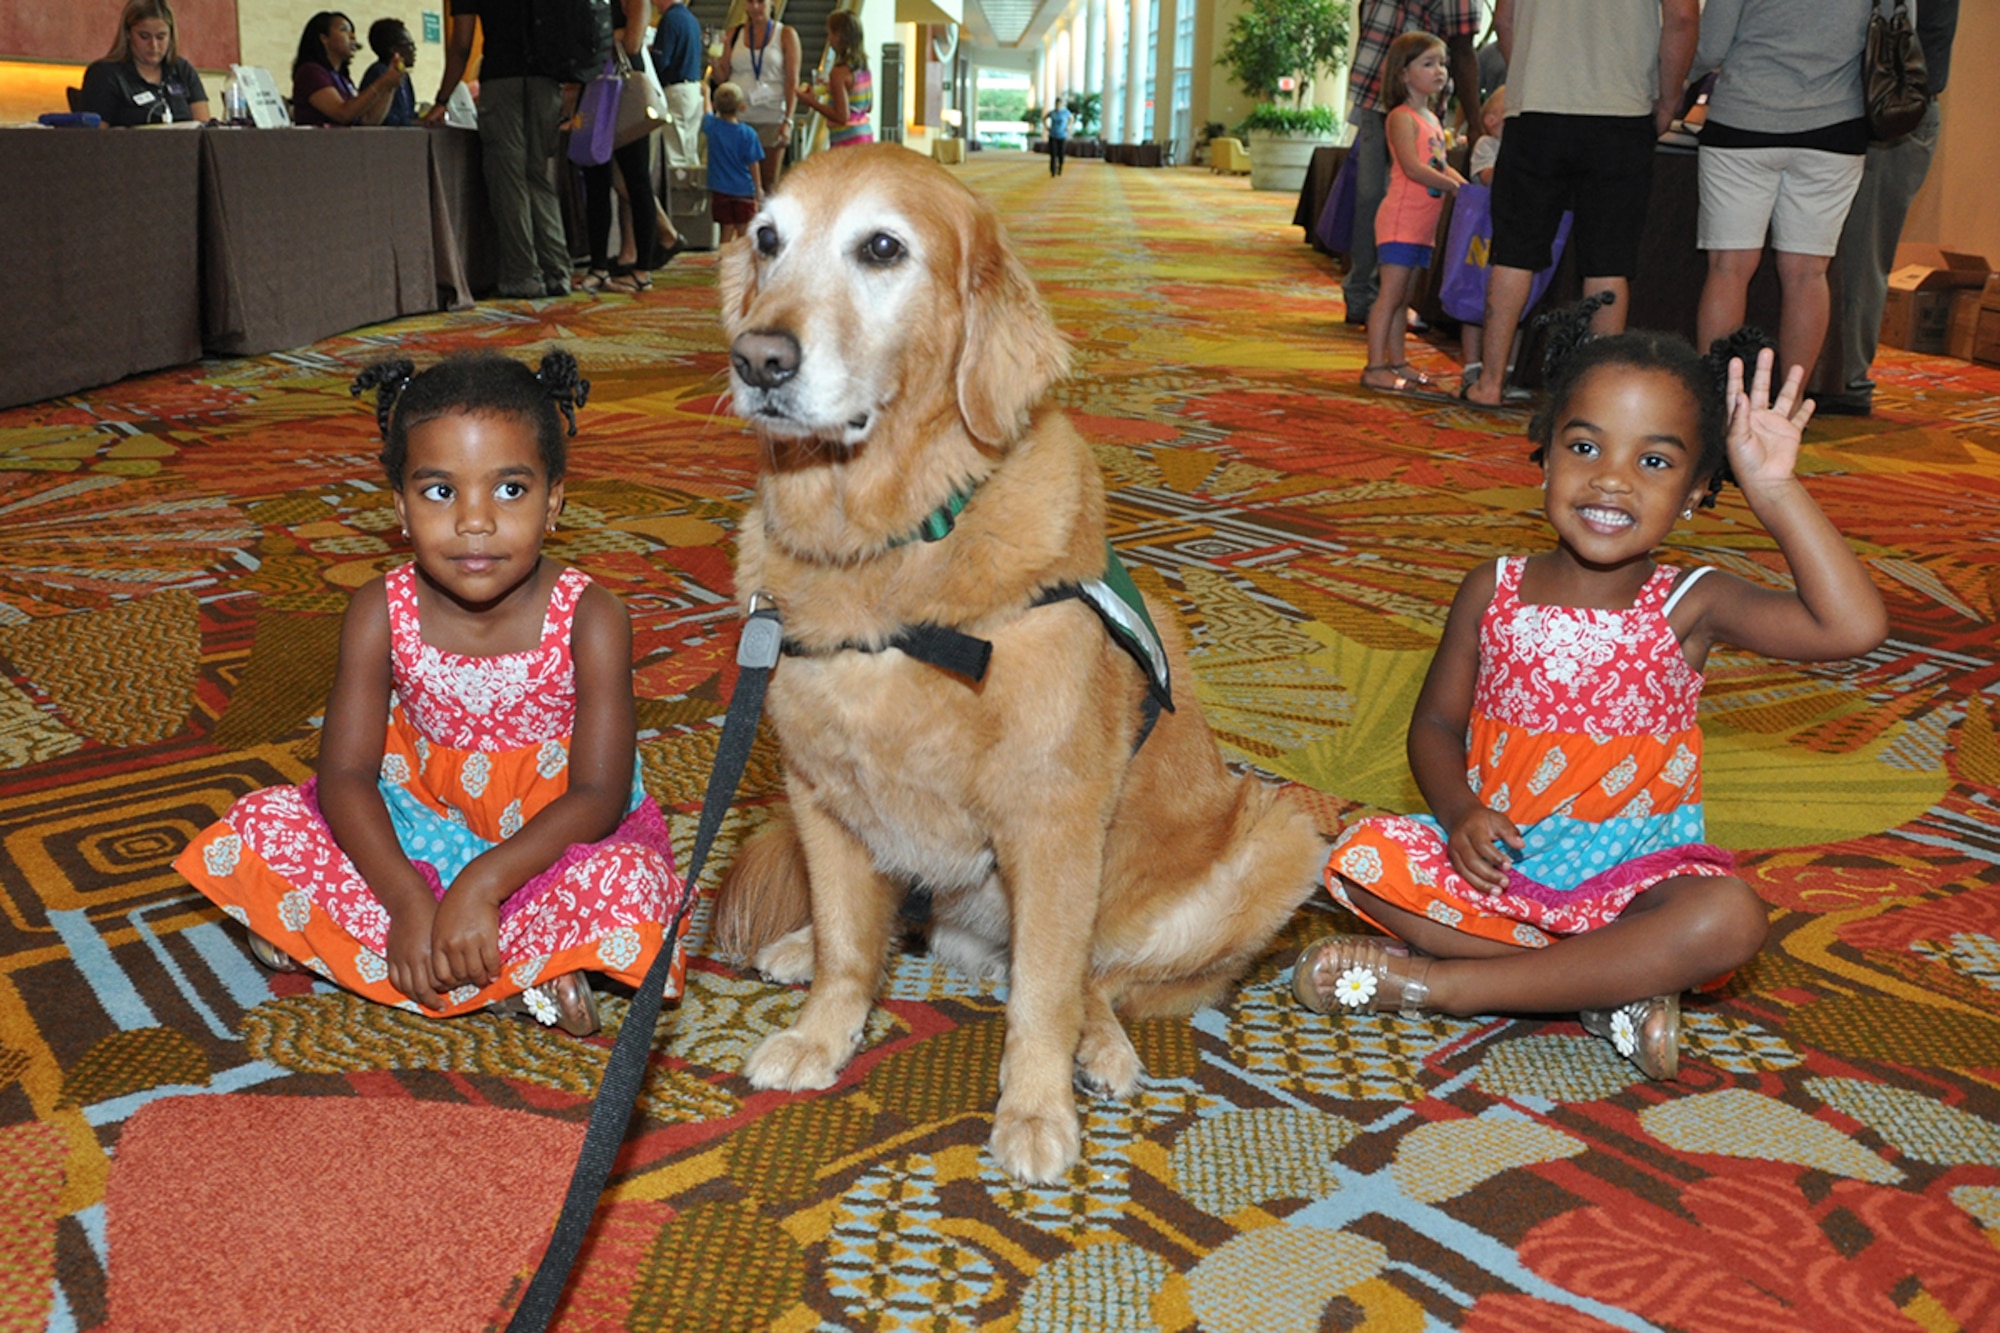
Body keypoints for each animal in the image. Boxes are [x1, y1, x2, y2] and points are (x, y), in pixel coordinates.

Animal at [712, 145, 1320, 1176]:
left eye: (883, 248)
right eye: (766, 238)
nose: (760, 358)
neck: (890, 554)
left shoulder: (1052, 822)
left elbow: (1045, 990)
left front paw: (1034, 1110)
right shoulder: (818, 794)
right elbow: (847, 945)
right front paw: (823, 1031)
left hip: (1281, 837)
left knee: (1105, 979)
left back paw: (1101, 1048)